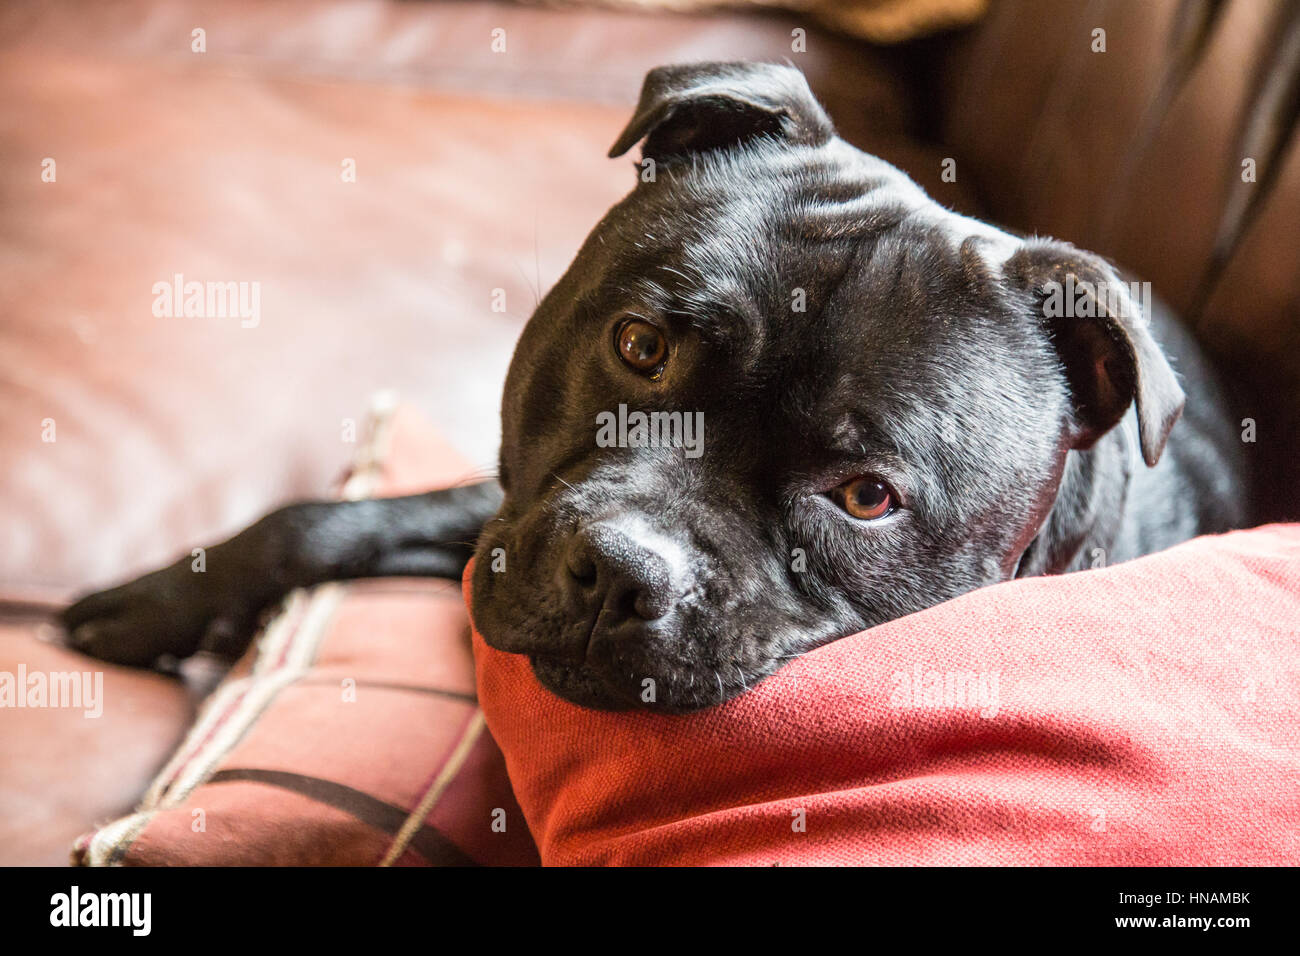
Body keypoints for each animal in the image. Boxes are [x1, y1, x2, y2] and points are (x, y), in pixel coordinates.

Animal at [63, 61, 1248, 712]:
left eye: (867, 497)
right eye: (639, 346)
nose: (623, 572)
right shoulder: (508, 506)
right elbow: (322, 519)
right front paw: (158, 599)